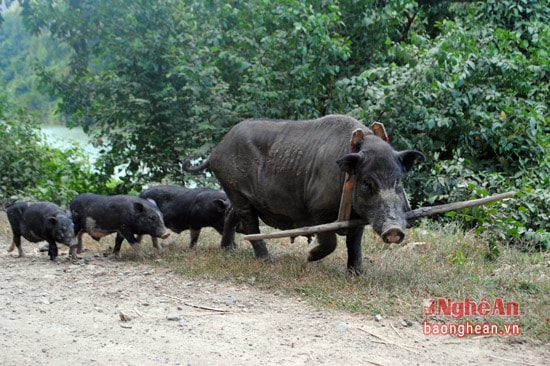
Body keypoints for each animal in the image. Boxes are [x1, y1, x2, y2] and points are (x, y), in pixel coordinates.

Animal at [185, 116, 426, 274]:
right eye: (368, 182)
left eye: (398, 181)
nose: (394, 230)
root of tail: (216, 151)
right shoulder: (318, 207)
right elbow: (330, 240)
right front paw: (309, 258)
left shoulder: (358, 217)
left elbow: (354, 243)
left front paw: (357, 274)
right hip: (236, 190)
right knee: (251, 226)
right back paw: (267, 262)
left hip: (240, 196)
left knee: (232, 216)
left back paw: (229, 249)